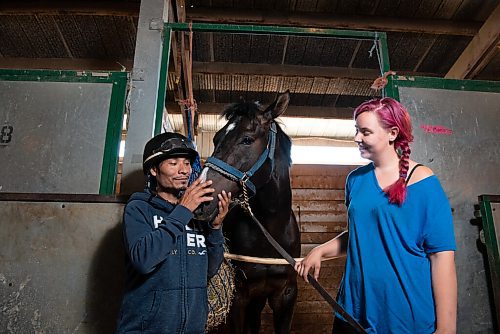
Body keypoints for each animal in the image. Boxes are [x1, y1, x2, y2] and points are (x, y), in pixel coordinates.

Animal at [196, 90, 300, 332]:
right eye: (215, 139)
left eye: (247, 140)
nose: (201, 200)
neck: (270, 232)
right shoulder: (240, 298)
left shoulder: (286, 295)